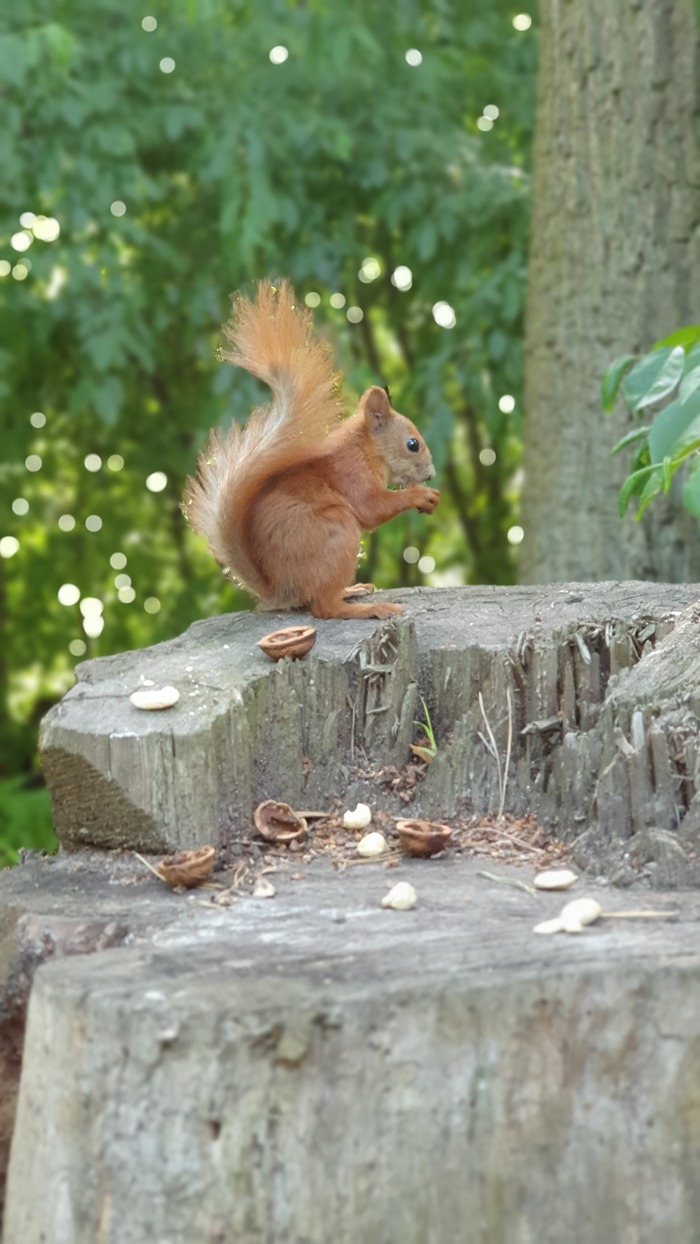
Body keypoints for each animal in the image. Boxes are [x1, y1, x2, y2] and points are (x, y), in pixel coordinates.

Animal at [184, 277, 440, 617]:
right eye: (413, 444)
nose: (431, 474)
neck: (366, 450)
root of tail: (281, 590)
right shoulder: (351, 473)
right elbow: (371, 508)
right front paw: (422, 495)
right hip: (336, 531)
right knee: (324, 607)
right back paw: (367, 608)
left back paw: (353, 590)